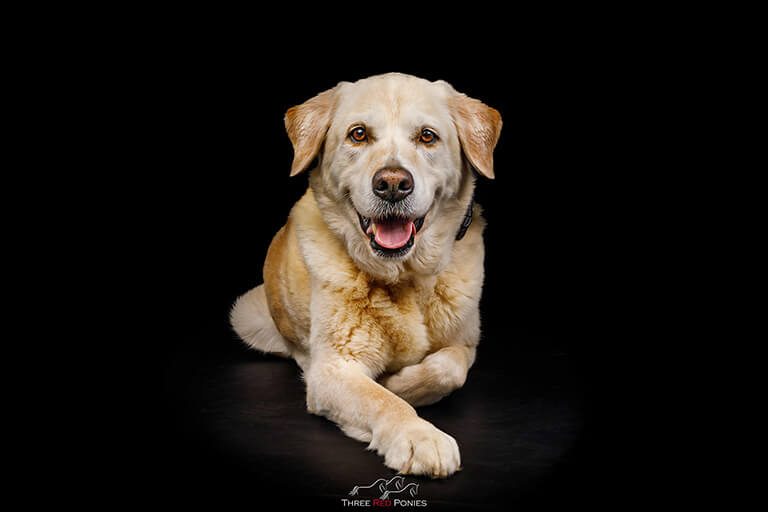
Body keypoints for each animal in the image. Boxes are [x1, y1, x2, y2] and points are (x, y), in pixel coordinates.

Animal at [231, 72, 500, 476]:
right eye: (358, 134)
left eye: (427, 136)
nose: (392, 184)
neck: (404, 276)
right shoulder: (332, 371)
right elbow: (381, 399)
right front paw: (418, 434)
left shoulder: (465, 344)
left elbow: (449, 370)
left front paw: (399, 381)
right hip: (248, 314)